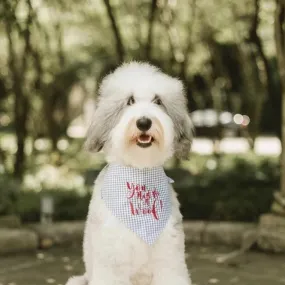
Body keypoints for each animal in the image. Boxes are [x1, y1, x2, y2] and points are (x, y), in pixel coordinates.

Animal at [65, 62, 192, 284]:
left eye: (158, 101)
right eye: (130, 101)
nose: (144, 122)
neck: (139, 172)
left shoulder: (169, 256)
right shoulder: (113, 257)